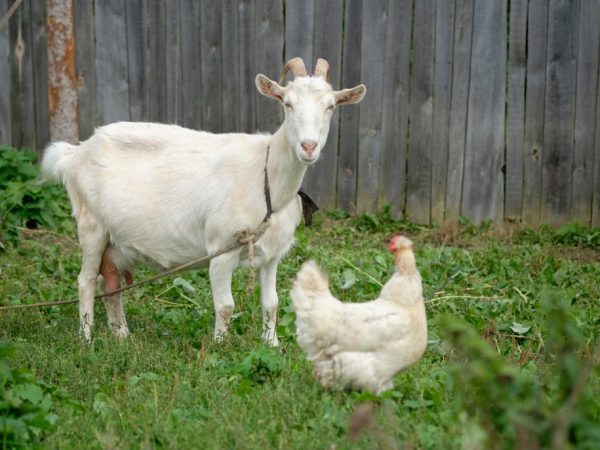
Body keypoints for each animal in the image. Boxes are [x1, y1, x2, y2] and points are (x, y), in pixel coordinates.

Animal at [42, 57, 366, 344]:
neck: (265, 176)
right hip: (91, 226)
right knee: (85, 282)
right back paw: (86, 339)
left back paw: (121, 335)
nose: (308, 147)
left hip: (115, 242)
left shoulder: (272, 256)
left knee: (108, 283)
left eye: (330, 106)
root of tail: (76, 153)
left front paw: (272, 344)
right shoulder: (221, 249)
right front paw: (218, 348)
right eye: (287, 103)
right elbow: (226, 306)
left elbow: (272, 303)